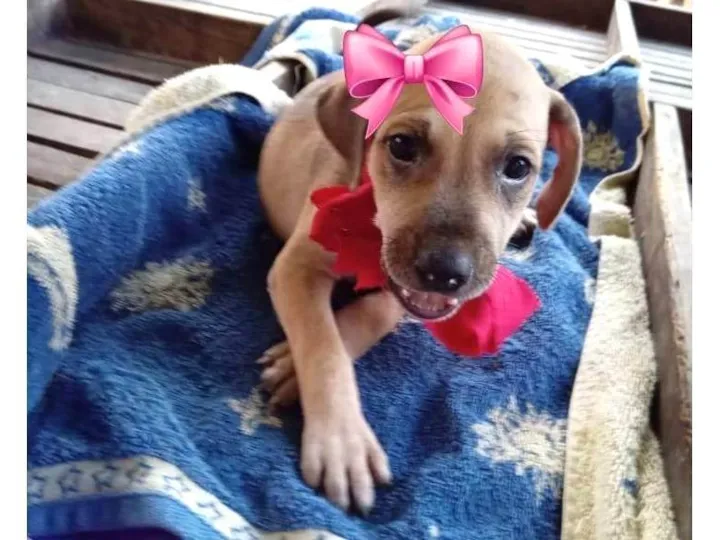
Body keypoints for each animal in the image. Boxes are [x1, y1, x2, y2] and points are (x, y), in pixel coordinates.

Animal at [256, 17, 582, 514]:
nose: (445, 273)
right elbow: (323, 347)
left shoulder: (407, 291)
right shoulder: (296, 265)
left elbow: (374, 310)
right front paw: (342, 444)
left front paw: (293, 368)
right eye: (402, 145)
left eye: (518, 167)